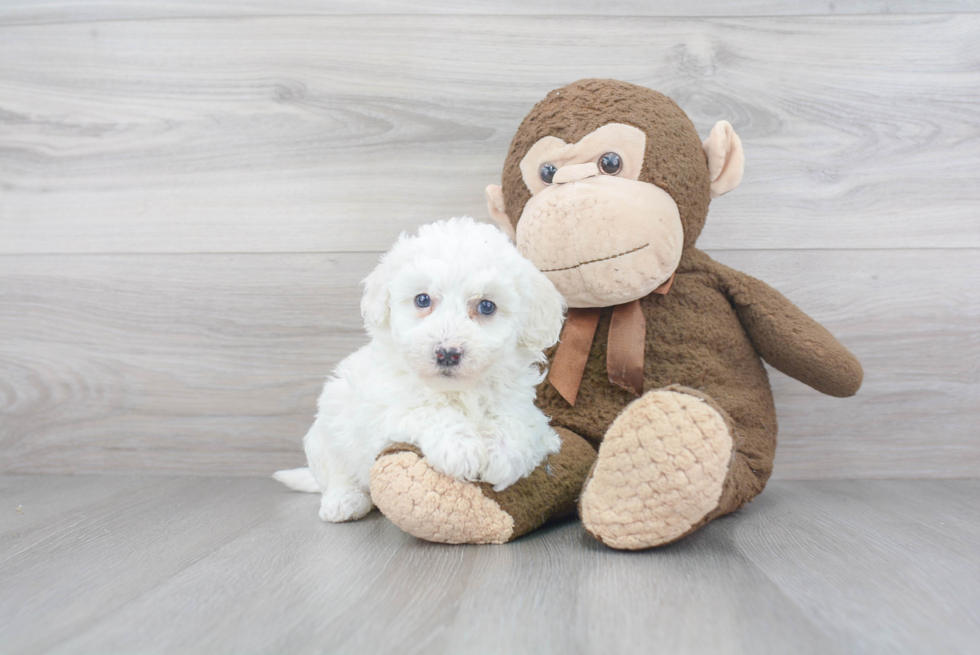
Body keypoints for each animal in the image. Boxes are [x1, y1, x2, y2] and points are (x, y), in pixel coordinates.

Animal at [276, 218, 568, 524]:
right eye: (422, 300)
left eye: (487, 305)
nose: (447, 353)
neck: (458, 391)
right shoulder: (383, 411)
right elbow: (427, 411)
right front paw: (461, 448)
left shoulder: (523, 406)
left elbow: (516, 421)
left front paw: (501, 452)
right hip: (326, 432)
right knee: (335, 471)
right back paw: (344, 500)